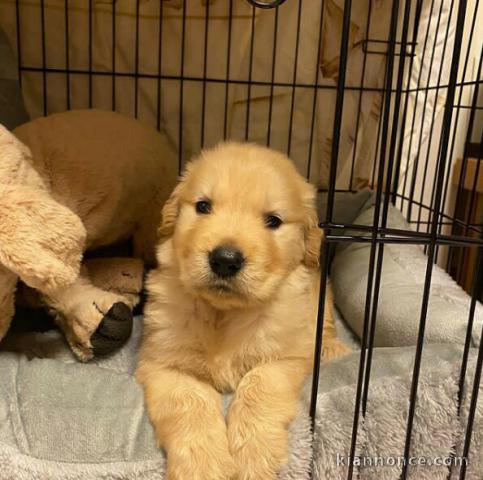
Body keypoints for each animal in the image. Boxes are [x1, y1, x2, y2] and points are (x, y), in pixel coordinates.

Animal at [138, 142, 350, 480]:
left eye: (273, 221)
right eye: (203, 206)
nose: (225, 259)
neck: (224, 314)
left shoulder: (285, 358)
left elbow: (259, 386)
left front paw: (253, 456)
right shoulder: (165, 363)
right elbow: (189, 403)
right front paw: (203, 464)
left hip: (322, 295)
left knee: (327, 326)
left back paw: (332, 348)